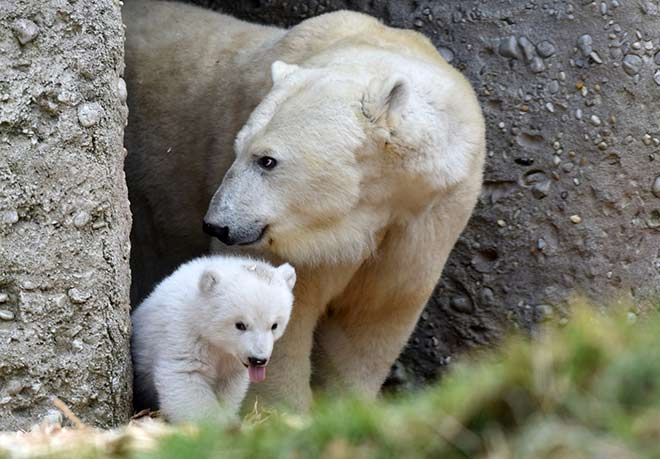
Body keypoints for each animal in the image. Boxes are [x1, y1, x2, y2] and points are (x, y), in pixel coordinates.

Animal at [124, 0, 484, 410]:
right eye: (238, 150)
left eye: (266, 160)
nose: (217, 224)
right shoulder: (301, 240)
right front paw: (282, 411)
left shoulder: (427, 217)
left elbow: (375, 313)